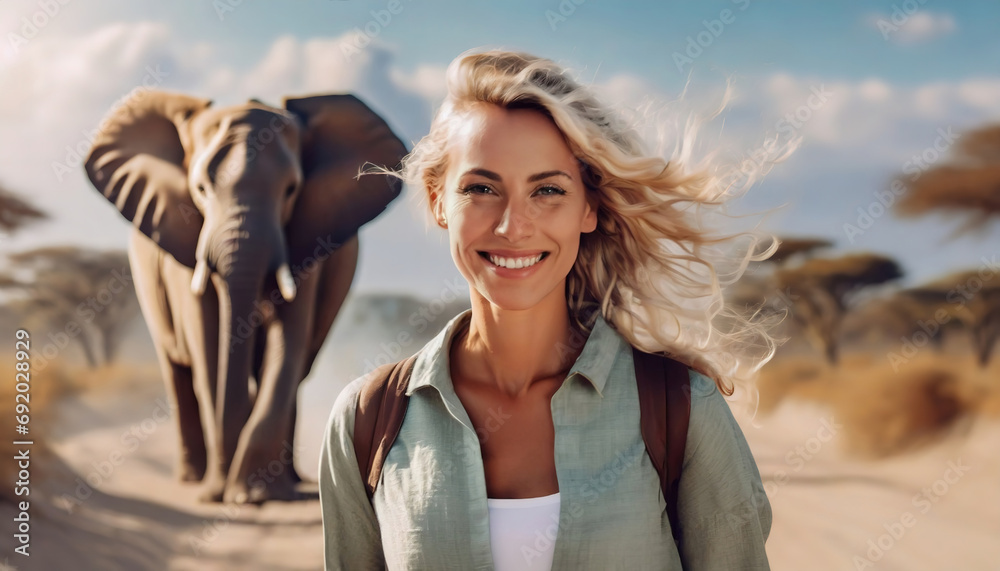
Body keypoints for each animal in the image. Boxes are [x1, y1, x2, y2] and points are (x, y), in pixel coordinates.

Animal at [83, 90, 406, 504]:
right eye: (200, 190)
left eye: (291, 190)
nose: (221, 493)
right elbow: (207, 342)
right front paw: (219, 493)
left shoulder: (307, 234)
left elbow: (288, 340)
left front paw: (251, 494)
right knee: (177, 368)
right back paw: (192, 479)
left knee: (296, 368)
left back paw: (289, 480)